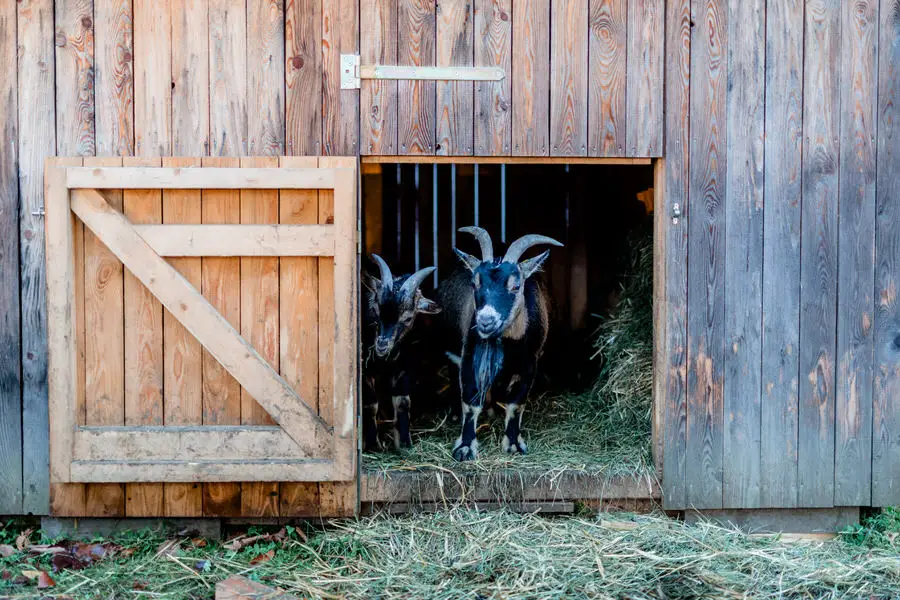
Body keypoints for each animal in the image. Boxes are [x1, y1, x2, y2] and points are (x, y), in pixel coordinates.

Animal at [362, 255, 440, 452]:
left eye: (407, 318)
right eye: (376, 310)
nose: (382, 345)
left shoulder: (404, 365)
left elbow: (403, 402)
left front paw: (404, 443)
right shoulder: (364, 368)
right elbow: (370, 404)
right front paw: (373, 445)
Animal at [438, 225, 560, 460]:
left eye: (516, 285)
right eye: (475, 282)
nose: (486, 321)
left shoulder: (529, 363)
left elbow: (516, 404)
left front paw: (513, 444)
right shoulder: (469, 356)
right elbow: (470, 402)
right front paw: (465, 448)